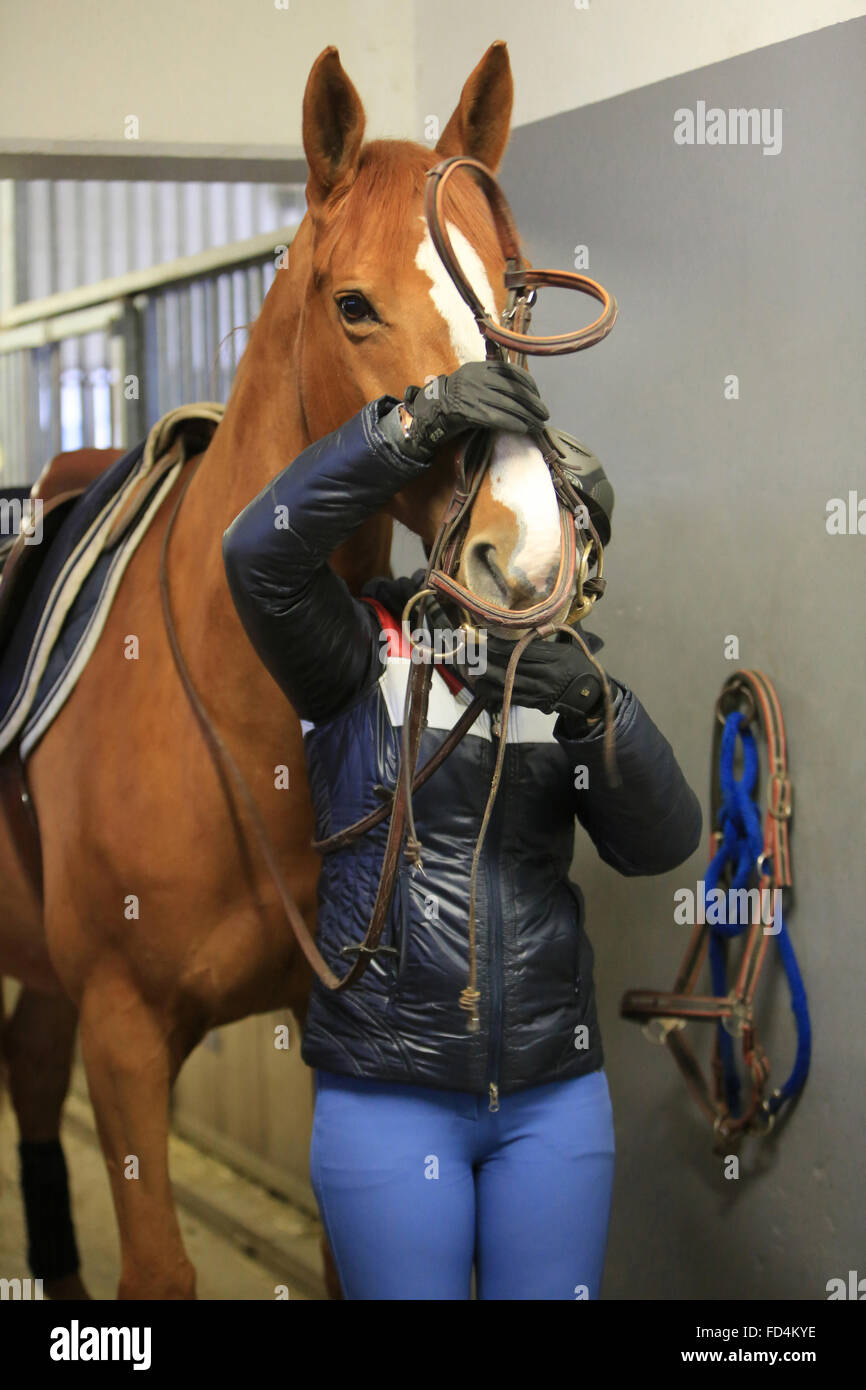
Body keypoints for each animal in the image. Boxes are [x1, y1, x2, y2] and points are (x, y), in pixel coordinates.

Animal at [1, 43, 575, 1301]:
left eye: (514, 294)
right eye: (353, 305)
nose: (523, 554)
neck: (231, 693)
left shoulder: (339, 1042)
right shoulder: (124, 1031)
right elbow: (157, 1271)